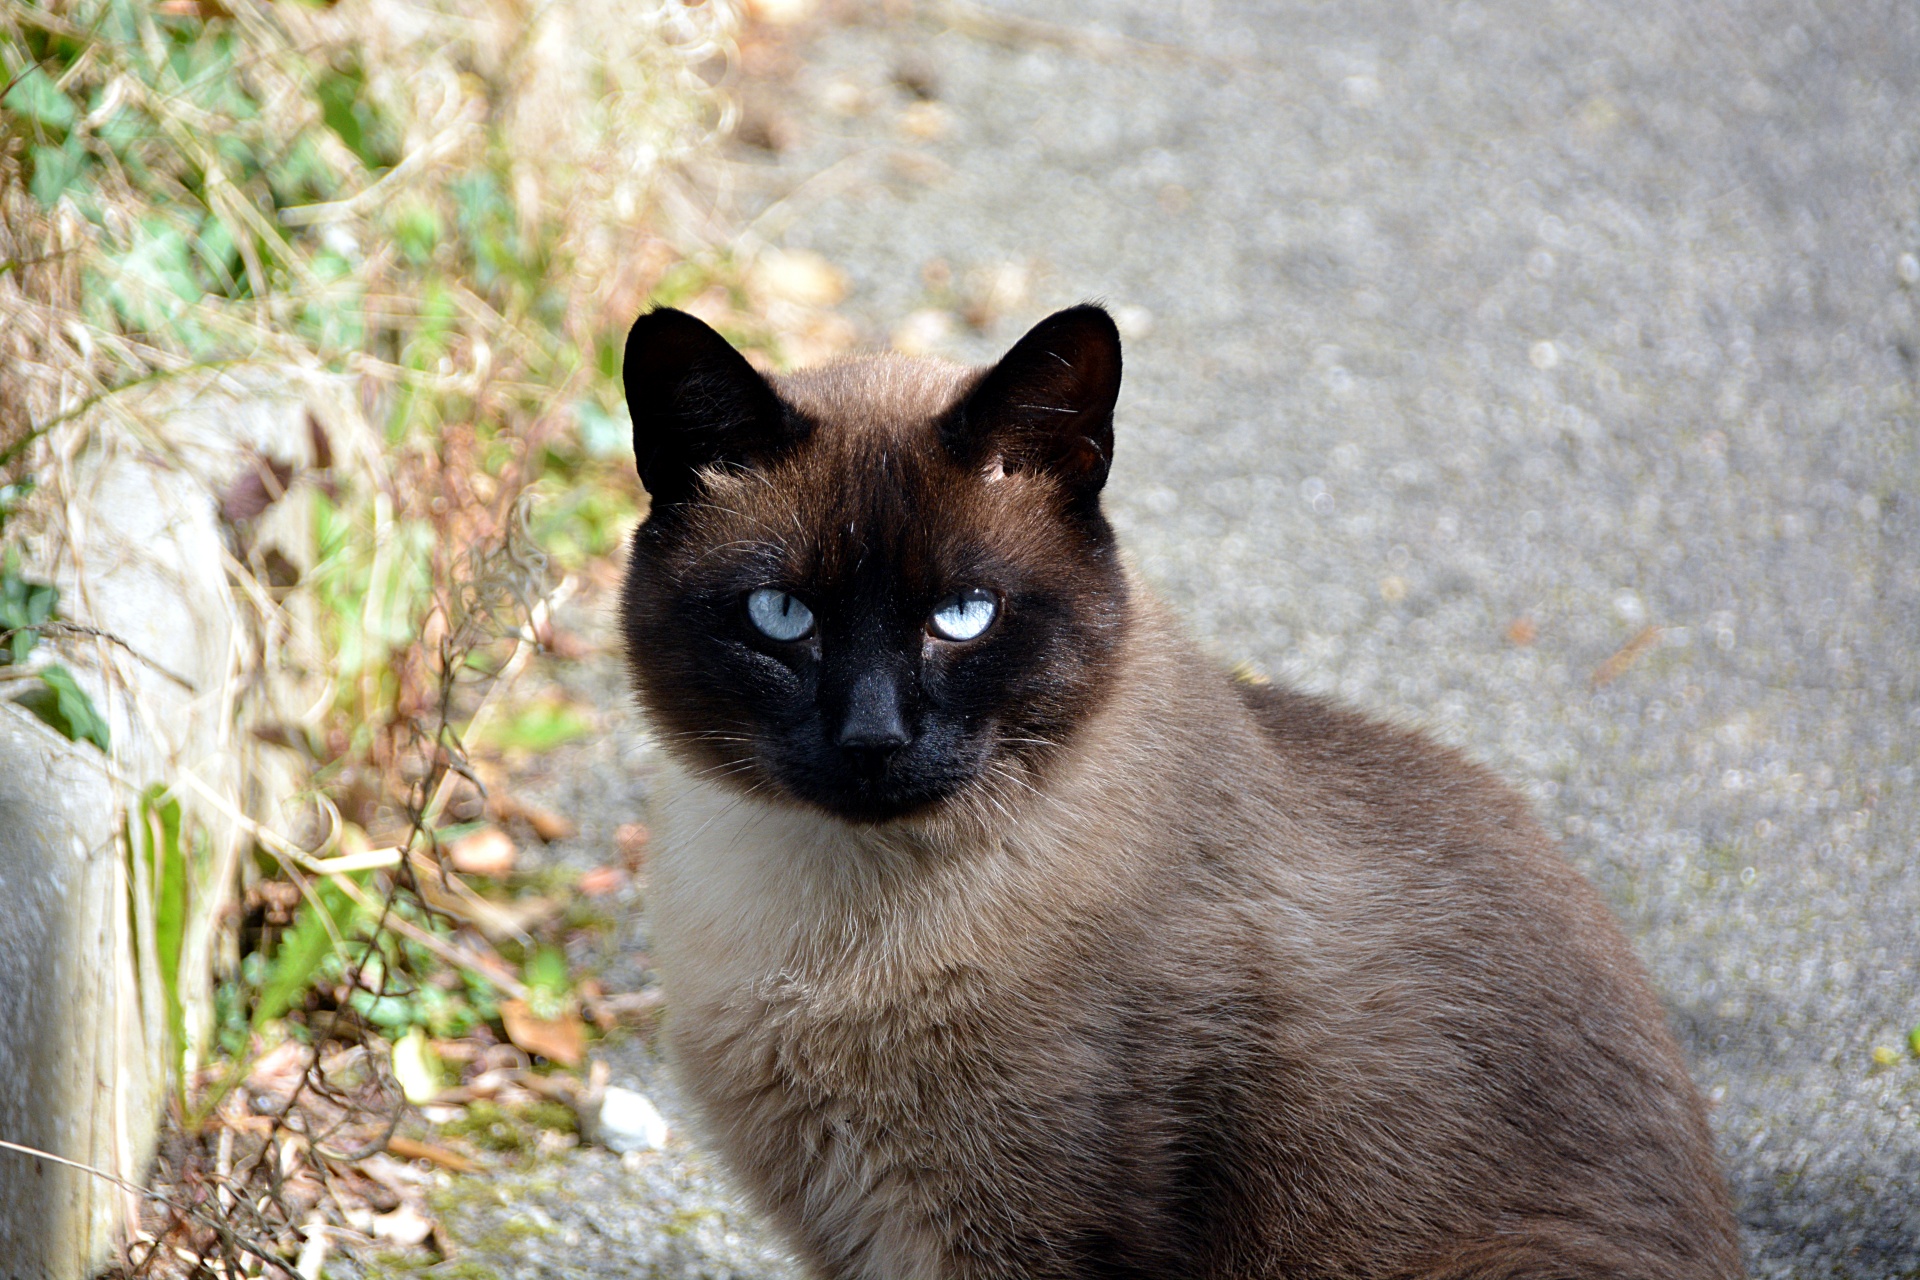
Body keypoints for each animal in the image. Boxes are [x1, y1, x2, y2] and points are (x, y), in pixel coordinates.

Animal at [618, 303, 1743, 1280]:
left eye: (964, 615)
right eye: (781, 616)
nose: (872, 736)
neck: (825, 952)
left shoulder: (1023, 1236)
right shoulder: (852, 1228)